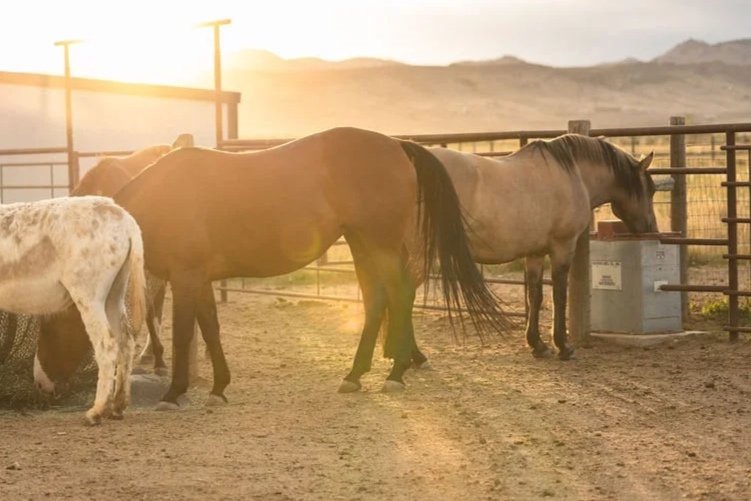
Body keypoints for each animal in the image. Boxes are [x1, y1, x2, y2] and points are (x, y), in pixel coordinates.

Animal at [0, 196, 146, 424]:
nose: (41, 384)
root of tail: (122, 216)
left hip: (89, 295)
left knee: (106, 344)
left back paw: (97, 412)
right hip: (115, 294)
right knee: (126, 342)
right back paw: (118, 406)